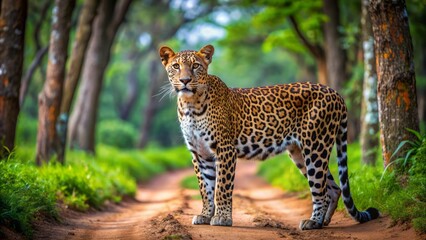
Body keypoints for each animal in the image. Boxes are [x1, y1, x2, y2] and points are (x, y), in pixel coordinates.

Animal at [159, 44, 380, 230]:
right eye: (176, 66)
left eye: (196, 66)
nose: (185, 81)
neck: (189, 105)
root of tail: (336, 93)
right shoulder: (199, 154)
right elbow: (205, 189)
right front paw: (205, 215)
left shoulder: (224, 150)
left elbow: (221, 187)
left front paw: (222, 218)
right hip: (300, 153)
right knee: (333, 189)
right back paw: (323, 221)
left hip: (315, 146)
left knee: (321, 190)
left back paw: (313, 222)